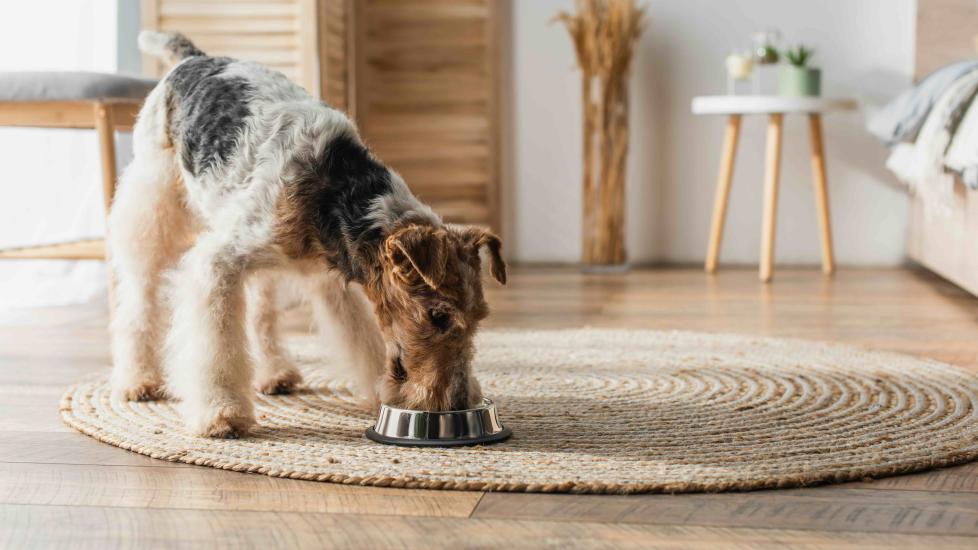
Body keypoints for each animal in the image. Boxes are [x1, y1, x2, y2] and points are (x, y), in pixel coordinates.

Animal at [108, 32, 504, 440]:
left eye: (479, 317)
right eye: (438, 316)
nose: (458, 403)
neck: (341, 195)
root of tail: (193, 56)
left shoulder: (331, 277)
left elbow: (363, 338)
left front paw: (380, 393)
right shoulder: (216, 264)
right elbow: (215, 347)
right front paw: (222, 414)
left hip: (259, 261)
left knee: (262, 314)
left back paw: (275, 373)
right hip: (153, 208)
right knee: (140, 300)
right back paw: (138, 381)